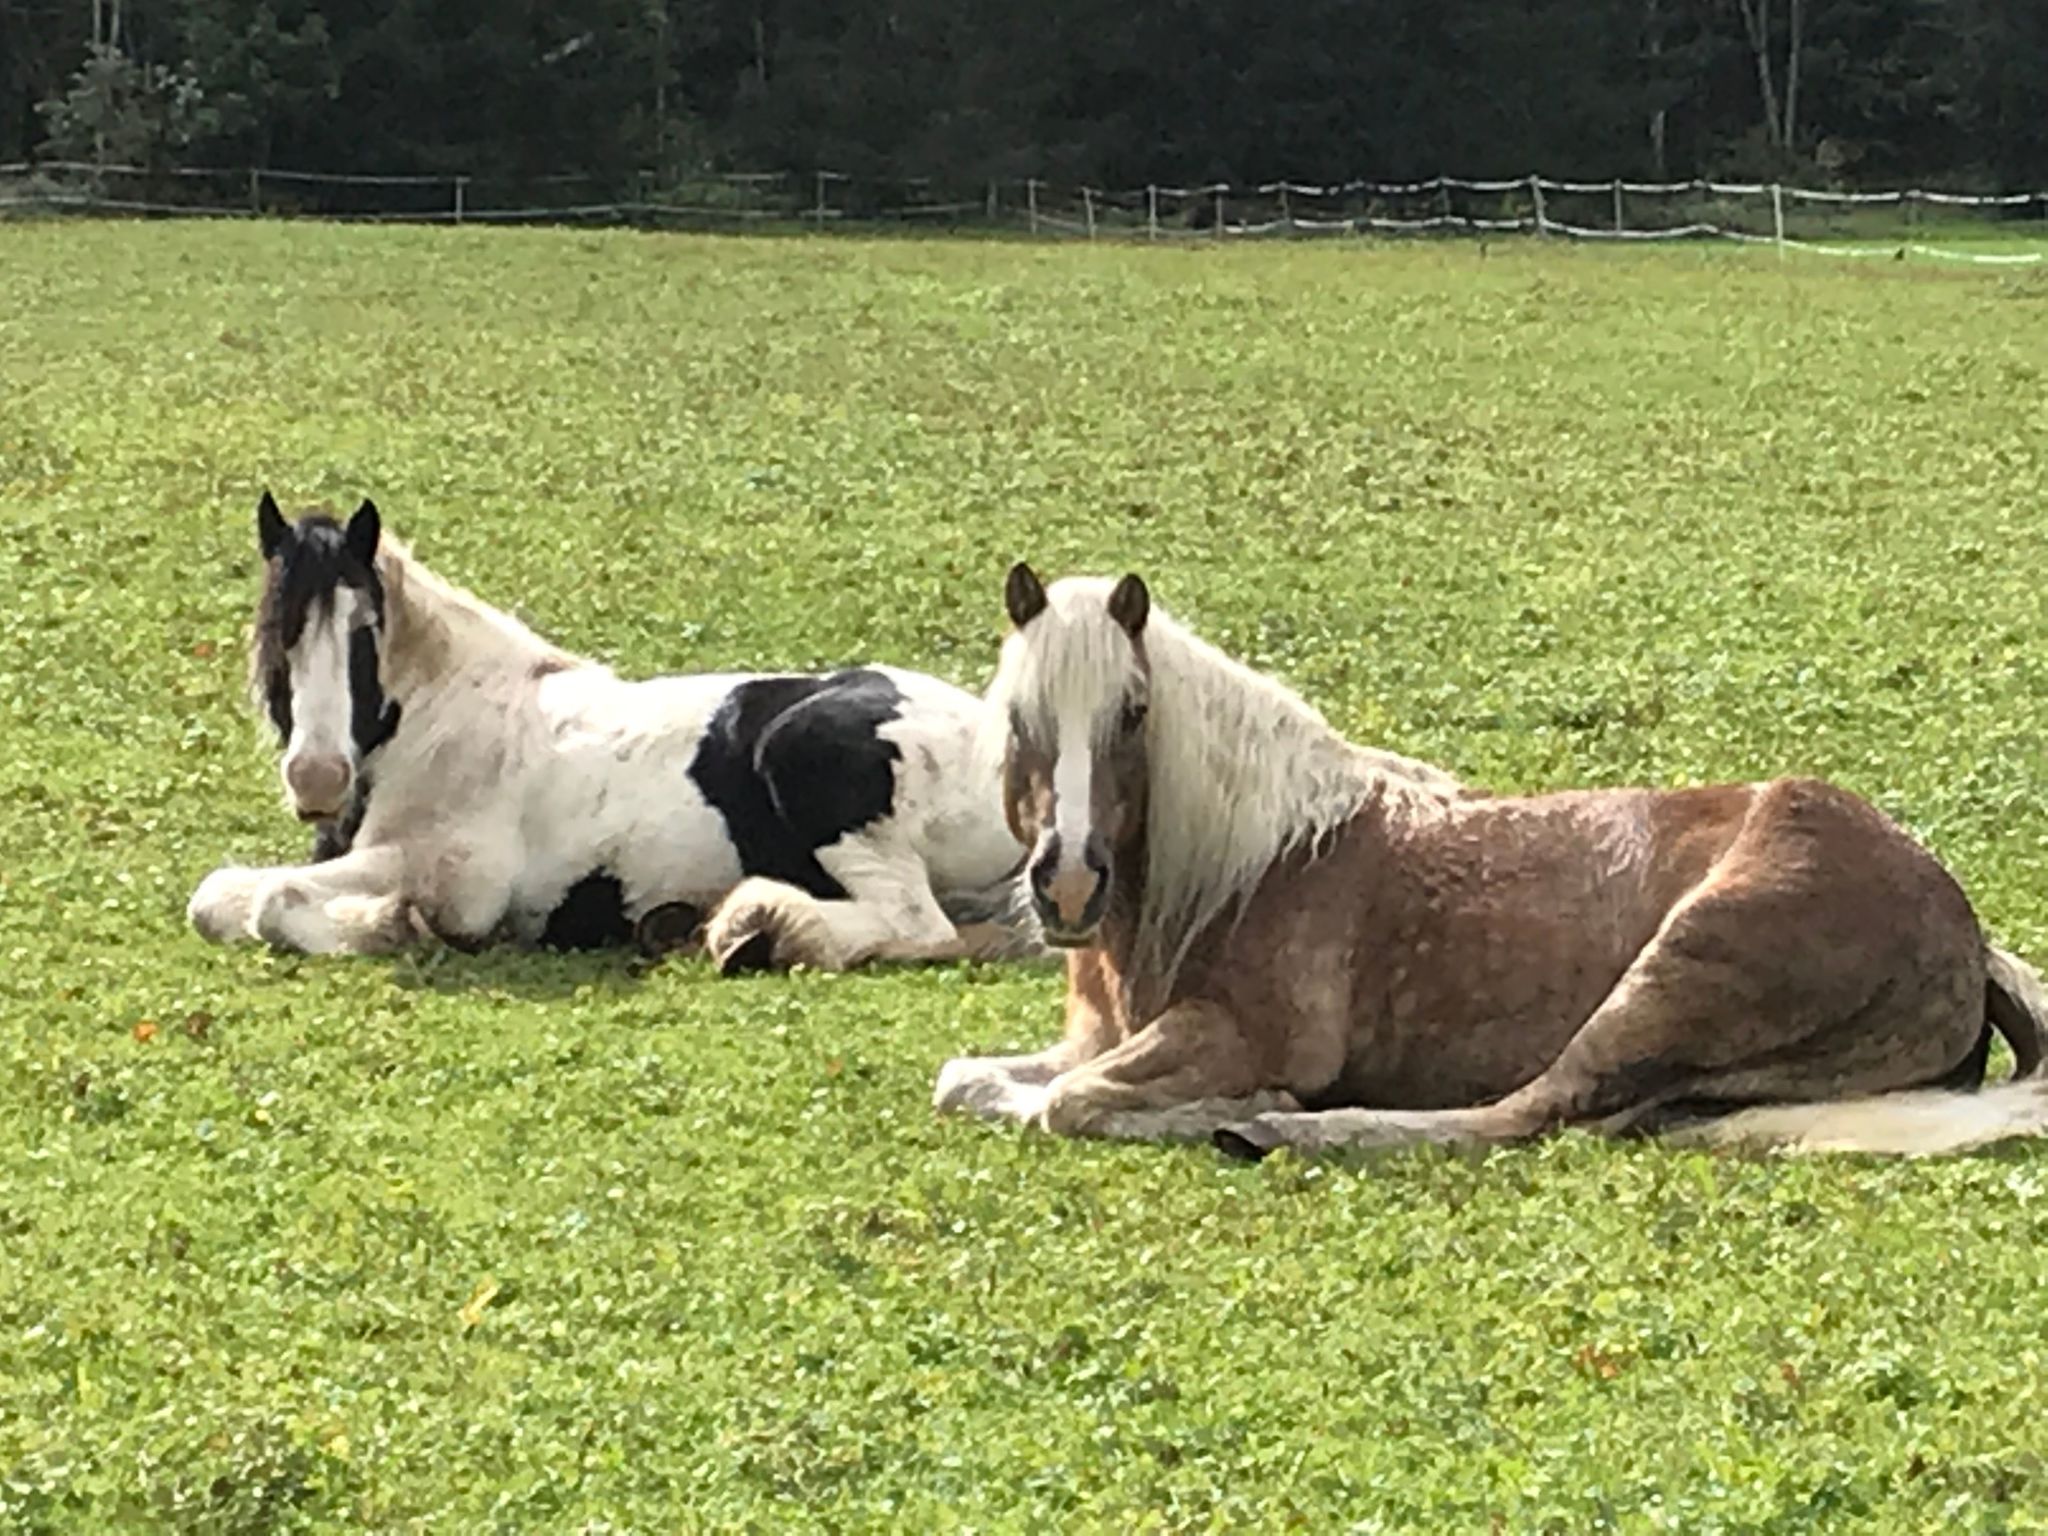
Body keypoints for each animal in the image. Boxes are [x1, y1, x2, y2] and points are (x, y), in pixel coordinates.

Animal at [187, 494, 1036, 972]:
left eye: (365, 630)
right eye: (276, 630)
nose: (318, 778)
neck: (444, 723)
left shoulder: (456, 878)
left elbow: (269, 899)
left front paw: (390, 923)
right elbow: (220, 897)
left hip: (810, 763)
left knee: (918, 925)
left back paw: (757, 924)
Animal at [932, 563, 2048, 1158]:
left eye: (1131, 712)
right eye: (1019, 717)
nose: (1069, 882)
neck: (1246, 869)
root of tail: (1960, 926)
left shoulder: (1227, 1035)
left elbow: (1070, 1104)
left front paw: (1248, 1106)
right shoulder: (1090, 1040)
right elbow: (969, 1082)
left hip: (1673, 976)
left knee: (1515, 1115)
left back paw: (1284, 1130)